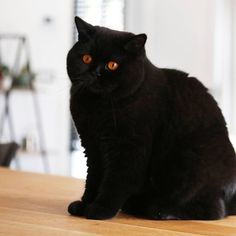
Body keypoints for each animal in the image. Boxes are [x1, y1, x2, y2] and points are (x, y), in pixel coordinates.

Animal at [66, 16, 236, 219]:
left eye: (112, 65)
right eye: (86, 58)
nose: (95, 73)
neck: (98, 108)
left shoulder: (129, 148)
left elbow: (115, 180)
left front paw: (100, 208)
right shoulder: (92, 146)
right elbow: (93, 178)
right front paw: (84, 205)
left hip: (192, 163)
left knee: (213, 210)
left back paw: (158, 211)